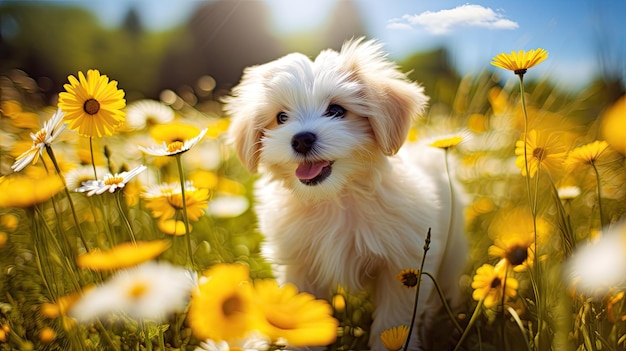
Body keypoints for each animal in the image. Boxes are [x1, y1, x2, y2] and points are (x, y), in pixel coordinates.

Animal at [223, 38, 464, 351]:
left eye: (337, 110)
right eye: (281, 117)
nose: (301, 139)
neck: (336, 197)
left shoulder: (402, 264)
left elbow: (394, 322)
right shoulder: (300, 265)